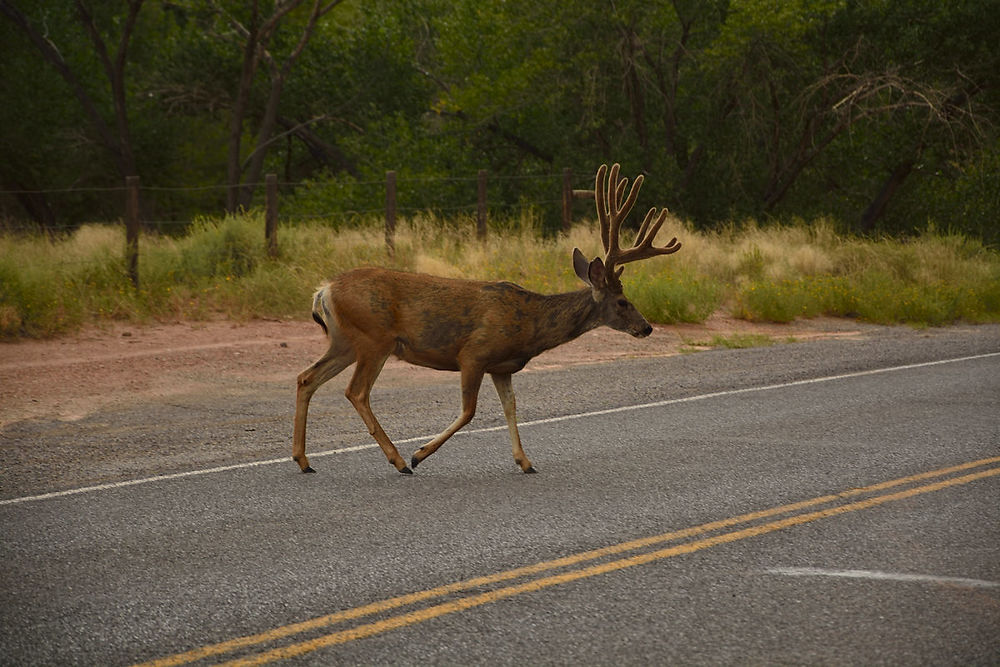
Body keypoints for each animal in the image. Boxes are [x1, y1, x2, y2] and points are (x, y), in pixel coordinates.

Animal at [290, 164, 680, 478]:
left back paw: (303, 460)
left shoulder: (502, 366)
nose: (646, 327)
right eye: (623, 301)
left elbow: (511, 407)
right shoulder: (474, 353)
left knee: (306, 377)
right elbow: (469, 411)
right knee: (356, 391)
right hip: (374, 338)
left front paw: (525, 461)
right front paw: (419, 454)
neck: (531, 324)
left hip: (345, 340)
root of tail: (324, 290)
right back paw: (398, 461)